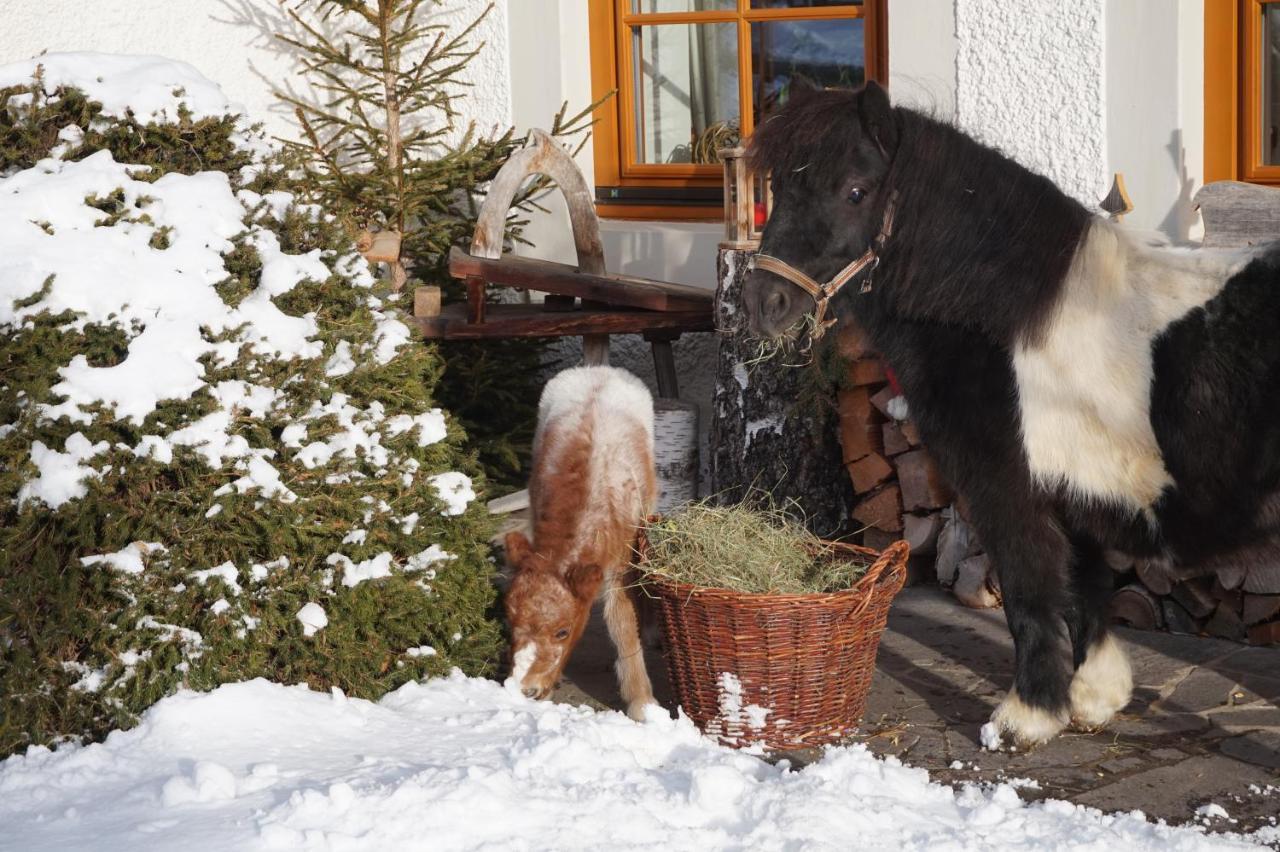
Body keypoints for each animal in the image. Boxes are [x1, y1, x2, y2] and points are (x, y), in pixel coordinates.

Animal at [501, 365, 660, 716]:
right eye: (510, 621)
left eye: (562, 631)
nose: (527, 690)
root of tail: (599, 369)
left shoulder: (622, 560)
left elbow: (623, 622)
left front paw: (642, 704)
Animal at [742, 79, 1280, 741]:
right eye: (778, 188)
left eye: (855, 190)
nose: (762, 302)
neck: (1007, 320)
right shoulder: (1073, 492)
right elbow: (1084, 591)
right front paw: (1094, 698)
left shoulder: (1007, 490)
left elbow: (1031, 594)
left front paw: (1025, 718)